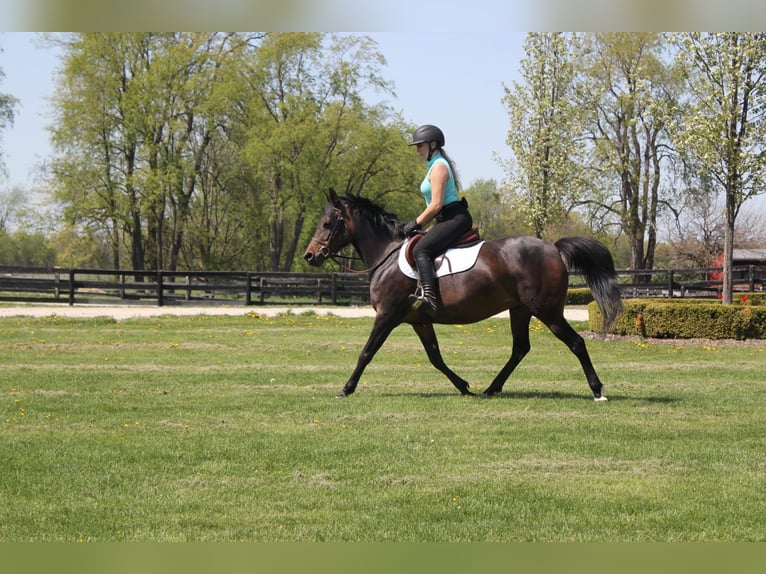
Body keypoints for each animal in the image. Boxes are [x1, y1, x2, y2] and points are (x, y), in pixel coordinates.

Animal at [304, 191, 628, 402]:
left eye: (328, 223)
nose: (310, 256)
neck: (388, 254)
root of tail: (553, 248)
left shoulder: (387, 315)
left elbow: (366, 352)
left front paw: (346, 388)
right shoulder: (419, 321)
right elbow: (435, 357)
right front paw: (463, 385)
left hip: (547, 311)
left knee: (576, 342)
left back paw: (597, 390)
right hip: (520, 310)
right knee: (520, 348)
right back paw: (492, 388)